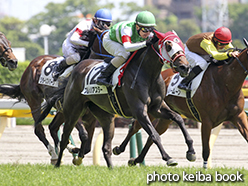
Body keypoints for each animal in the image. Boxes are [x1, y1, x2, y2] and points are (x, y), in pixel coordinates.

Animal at [0, 28, 109, 163]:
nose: (13, 62)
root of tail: (31, 64)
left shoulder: (91, 116)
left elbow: (88, 144)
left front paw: (75, 151)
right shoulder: (72, 111)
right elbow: (83, 135)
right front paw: (74, 152)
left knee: (53, 127)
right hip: (34, 101)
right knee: (39, 129)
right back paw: (54, 154)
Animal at [50, 30, 196, 169]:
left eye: (181, 44)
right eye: (168, 45)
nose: (185, 67)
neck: (148, 75)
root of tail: (79, 67)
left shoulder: (156, 108)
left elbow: (178, 118)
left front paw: (191, 151)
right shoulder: (139, 111)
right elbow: (154, 135)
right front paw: (168, 158)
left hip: (103, 115)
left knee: (103, 145)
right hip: (73, 111)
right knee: (64, 137)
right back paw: (58, 163)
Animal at [115, 39, 248, 169]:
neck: (224, 83)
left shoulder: (239, 115)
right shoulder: (207, 121)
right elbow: (206, 150)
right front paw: (204, 168)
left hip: (164, 118)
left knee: (151, 137)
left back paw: (136, 160)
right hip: (149, 111)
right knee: (135, 128)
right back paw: (119, 149)